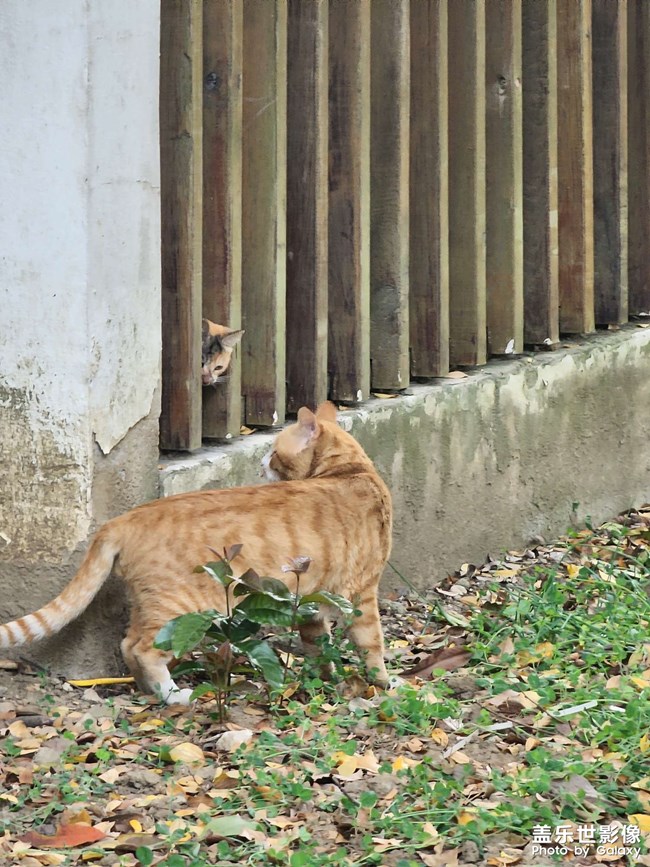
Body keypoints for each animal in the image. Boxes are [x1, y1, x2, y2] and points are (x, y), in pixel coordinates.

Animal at [0, 404, 390, 700]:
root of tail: (124, 519)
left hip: (149, 603)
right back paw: (173, 695)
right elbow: (372, 643)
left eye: (273, 451)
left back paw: (150, 691)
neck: (352, 471)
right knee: (142, 649)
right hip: (178, 607)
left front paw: (324, 677)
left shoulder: (311, 600)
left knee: (128, 644)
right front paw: (383, 684)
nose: (260, 463)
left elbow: (317, 645)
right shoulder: (362, 593)